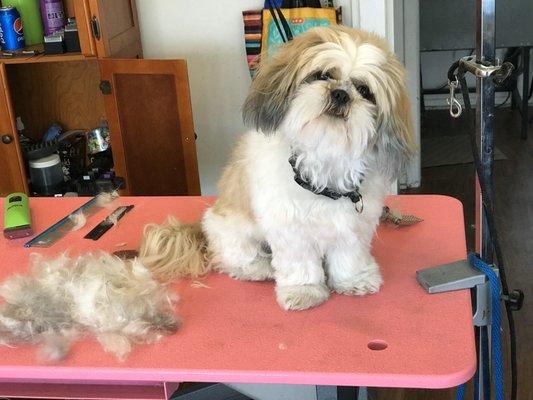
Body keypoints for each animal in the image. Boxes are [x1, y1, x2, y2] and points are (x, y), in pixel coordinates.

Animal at [139, 25, 414, 312]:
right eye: (322, 75)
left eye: (364, 90)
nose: (341, 93)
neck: (326, 158)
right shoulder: (290, 229)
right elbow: (300, 263)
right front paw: (304, 290)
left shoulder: (352, 227)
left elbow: (348, 256)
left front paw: (354, 280)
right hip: (233, 232)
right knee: (234, 259)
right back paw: (260, 268)